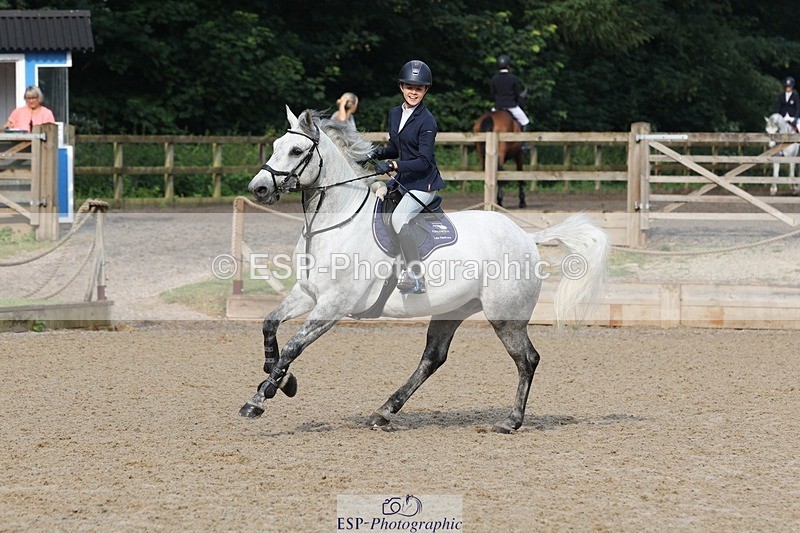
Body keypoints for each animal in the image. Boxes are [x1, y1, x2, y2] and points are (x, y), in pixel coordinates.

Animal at [239, 106, 608, 433]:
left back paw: (510, 422)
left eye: (296, 150)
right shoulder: (307, 294)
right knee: (433, 358)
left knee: (526, 359)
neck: (335, 223)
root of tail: (527, 237)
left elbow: (293, 346)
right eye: (275, 146)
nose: (258, 188)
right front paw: (282, 380)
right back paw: (384, 412)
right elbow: (269, 325)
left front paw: (260, 398)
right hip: (452, 311)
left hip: (505, 317)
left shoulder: (333, 305)